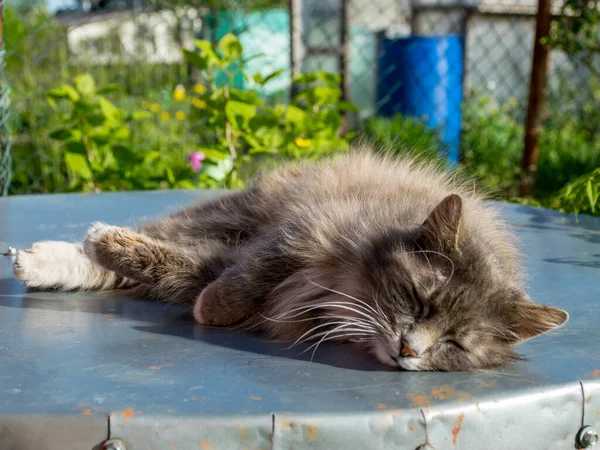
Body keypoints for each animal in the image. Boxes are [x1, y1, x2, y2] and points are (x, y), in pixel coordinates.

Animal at [12, 149, 568, 370]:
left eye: (455, 343)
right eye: (418, 300)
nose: (409, 351)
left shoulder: (229, 271)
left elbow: (181, 273)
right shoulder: (299, 233)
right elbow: (245, 276)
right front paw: (212, 306)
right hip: (235, 211)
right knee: (159, 230)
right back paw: (49, 255)